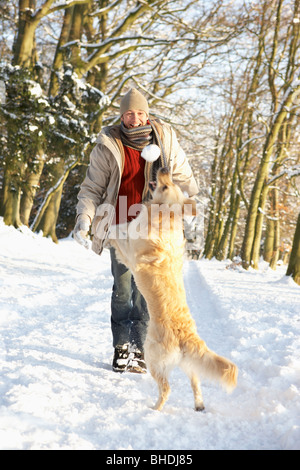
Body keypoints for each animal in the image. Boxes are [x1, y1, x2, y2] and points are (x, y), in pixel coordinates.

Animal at [109, 167, 238, 410]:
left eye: (167, 185)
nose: (164, 168)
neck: (163, 216)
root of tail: (187, 337)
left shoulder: (131, 252)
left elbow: (117, 234)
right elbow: (121, 228)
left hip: (153, 358)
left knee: (166, 388)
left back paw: (155, 409)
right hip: (188, 364)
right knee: (196, 381)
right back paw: (199, 405)